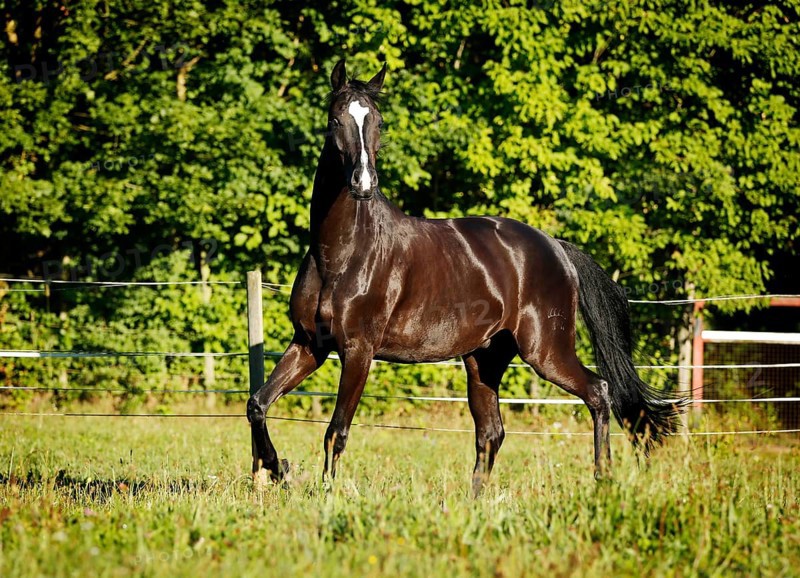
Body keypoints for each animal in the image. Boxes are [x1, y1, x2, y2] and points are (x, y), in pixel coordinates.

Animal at [247, 60, 686, 495]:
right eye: (336, 119)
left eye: (379, 121)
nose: (364, 184)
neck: (340, 254)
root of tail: (555, 246)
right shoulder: (310, 344)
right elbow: (258, 404)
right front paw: (276, 468)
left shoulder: (357, 350)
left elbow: (335, 431)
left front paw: (325, 492)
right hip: (485, 358)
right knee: (491, 432)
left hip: (546, 351)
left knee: (597, 393)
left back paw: (602, 479)